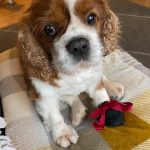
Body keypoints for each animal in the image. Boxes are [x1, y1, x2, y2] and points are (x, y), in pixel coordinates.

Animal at [18, 0, 125, 148]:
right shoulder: (41, 90)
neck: (75, 72)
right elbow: (53, 114)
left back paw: (112, 86)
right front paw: (62, 133)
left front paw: (108, 109)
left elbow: (100, 92)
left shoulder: (93, 76)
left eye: (91, 18)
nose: (78, 45)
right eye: (49, 29)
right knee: (69, 96)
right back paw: (78, 111)